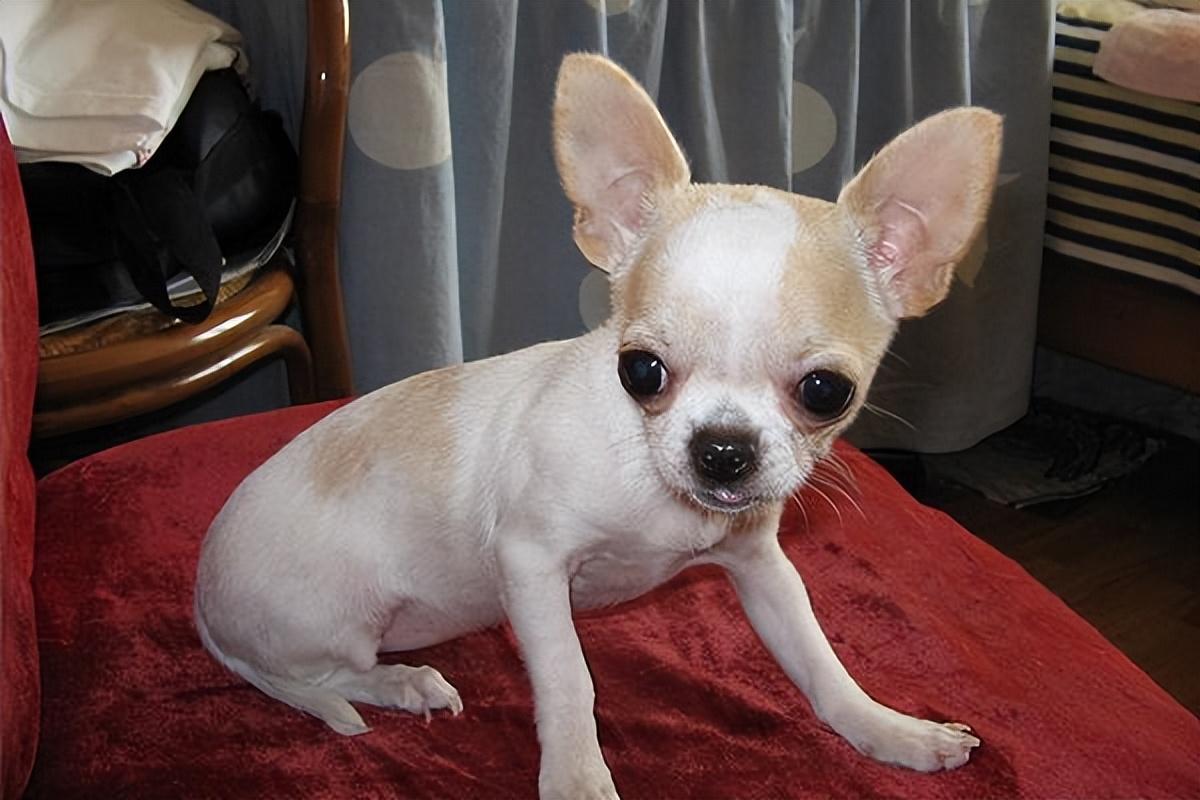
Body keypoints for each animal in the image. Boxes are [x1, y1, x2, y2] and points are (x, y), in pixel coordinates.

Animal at [195, 53, 1001, 799]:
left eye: (827, 392)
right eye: (640, 371)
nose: (723, 450)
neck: (655, 490)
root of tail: (204, 604)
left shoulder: (763, 568)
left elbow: (820, 662)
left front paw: (888, 730)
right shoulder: (531, 564)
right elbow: (568, 682)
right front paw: (578, 778)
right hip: (338, 619)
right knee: (332, 677)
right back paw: (404, 683)